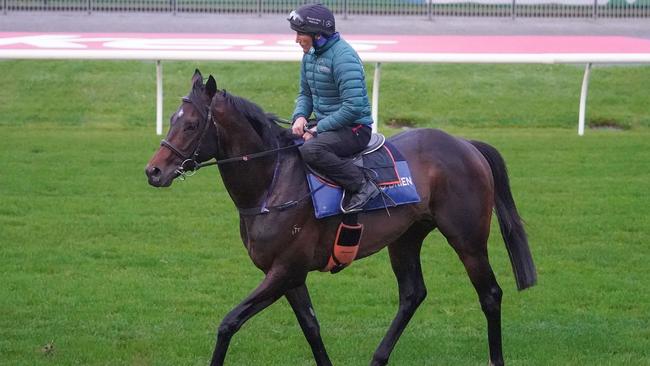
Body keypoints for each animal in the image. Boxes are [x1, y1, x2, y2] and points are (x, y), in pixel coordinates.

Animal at [144, 69, 536, 366]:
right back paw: (378, 357)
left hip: (467, 238)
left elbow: (229, 322)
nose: (153, 171)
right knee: (412, 294)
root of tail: (466, 145)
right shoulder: (289, 275)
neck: (273, 183)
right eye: (172, 119)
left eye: (192, 124)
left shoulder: (284, 269)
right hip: (406, 237)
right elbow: (311, 327)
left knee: (490, 294)